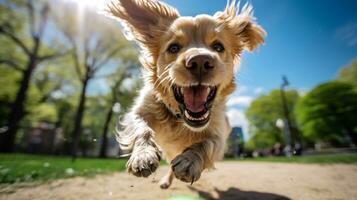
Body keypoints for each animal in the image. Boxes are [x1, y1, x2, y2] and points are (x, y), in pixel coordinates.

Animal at [105, 0, 264, 188]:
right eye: (173, 47)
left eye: (218, 46)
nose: (200, 61)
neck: (181, 120)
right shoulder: (139, 111)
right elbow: (142, 129)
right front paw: (143, 156)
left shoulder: (220, 134)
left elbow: (206, 143)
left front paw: (189, 161)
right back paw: (165, 181)